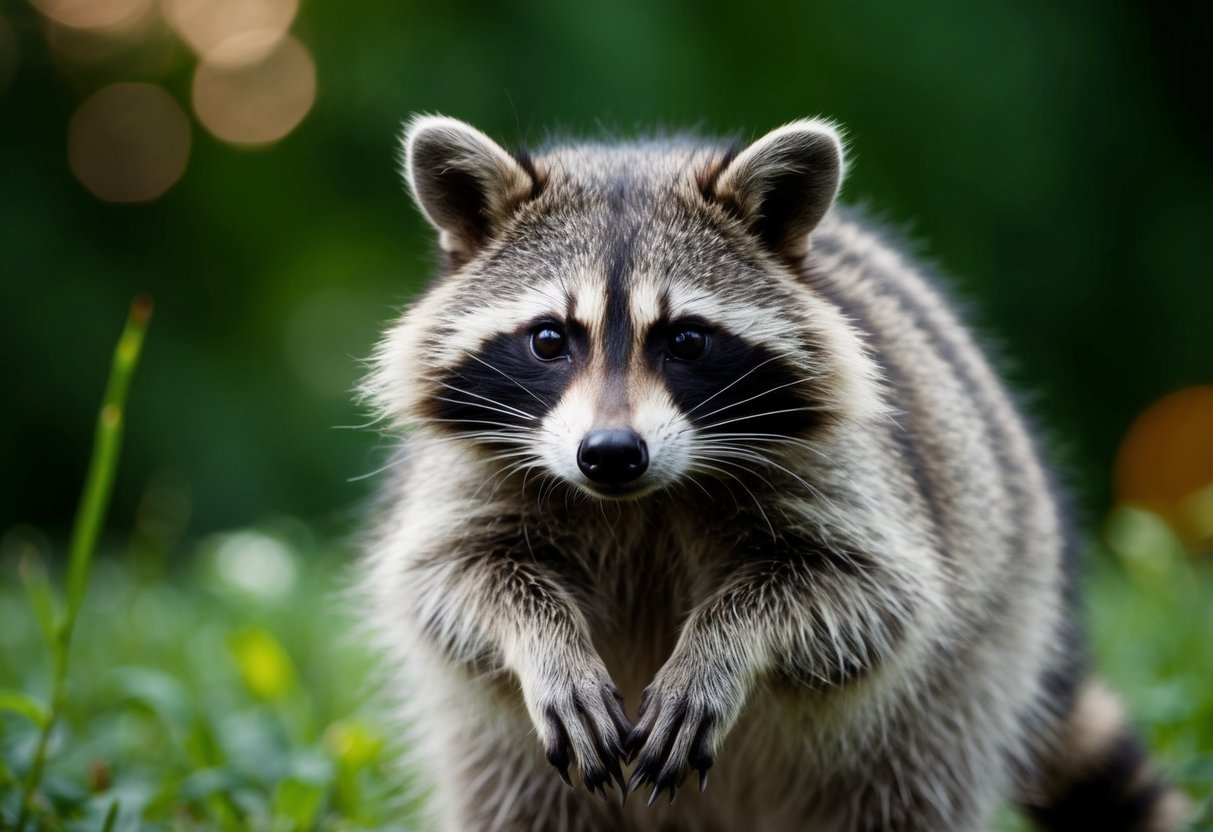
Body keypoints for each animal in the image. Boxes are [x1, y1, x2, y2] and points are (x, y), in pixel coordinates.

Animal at [358, 115, 1187, 832]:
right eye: (549, 339)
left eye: (685, 340)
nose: (612, 452)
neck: (640, 500)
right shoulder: (467, 470)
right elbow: (451, 578)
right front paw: (545, 645)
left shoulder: (855, 477)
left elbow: (864, 596)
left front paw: (720, 647)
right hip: (503, 754)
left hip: (965, 678)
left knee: (907, 787)